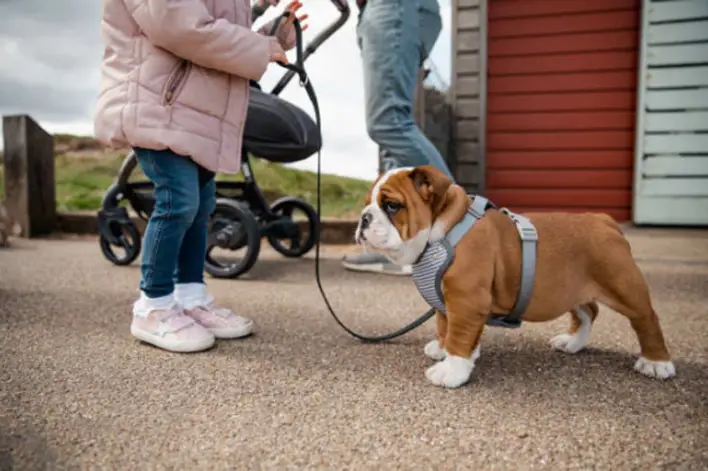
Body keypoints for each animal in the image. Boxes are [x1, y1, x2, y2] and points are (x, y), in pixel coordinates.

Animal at [354, 166, 676, 390]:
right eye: (367, 203)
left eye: (392, 205)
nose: (363, 218)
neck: (443, 231)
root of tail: (604, 220)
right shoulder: (446, 302)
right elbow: (446, 327)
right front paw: (445, 350)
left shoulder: (466, 300)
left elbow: (459, 335)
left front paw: (452, 370)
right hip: (572, 289)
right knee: (588, 311)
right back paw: (572, 342)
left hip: (624, 286)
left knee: (646, 319)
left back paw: (657, 363)